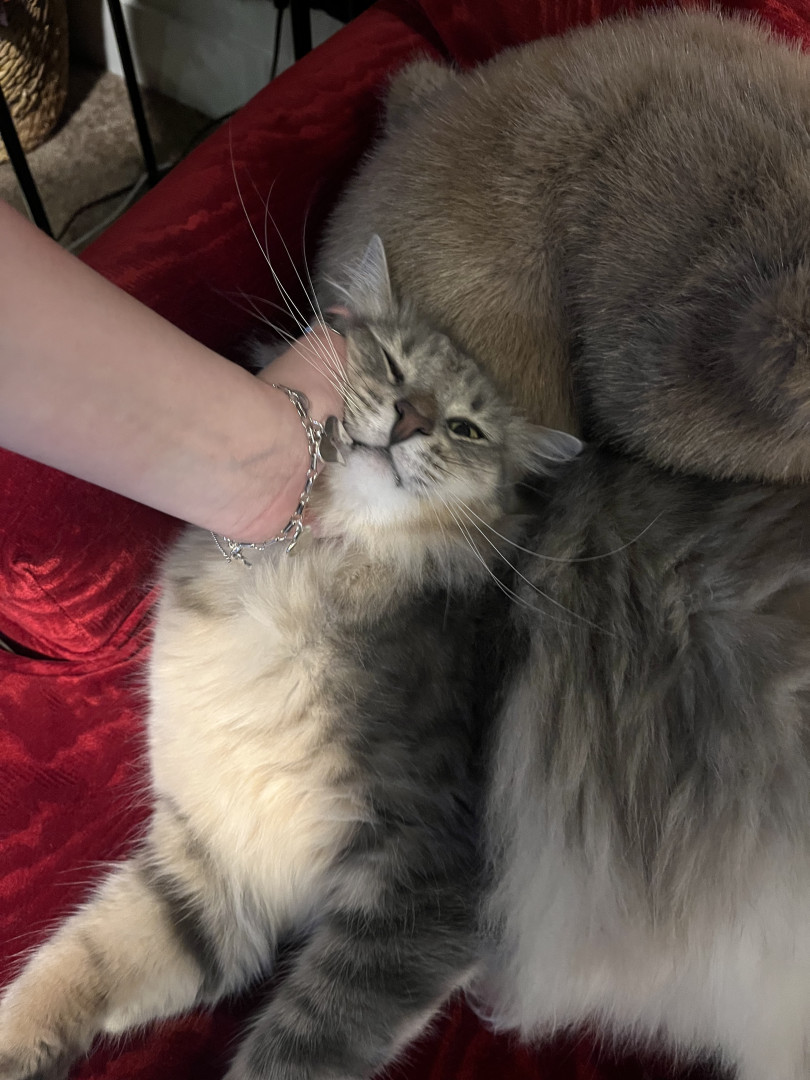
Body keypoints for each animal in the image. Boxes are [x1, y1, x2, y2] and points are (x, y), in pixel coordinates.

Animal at [0, 236, 581, 1080]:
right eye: (392, 363)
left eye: (467, 429)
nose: (413, 418)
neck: (304, 573)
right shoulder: (215, 867)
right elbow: (85, 959)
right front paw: (17, 1041)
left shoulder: (431, 871)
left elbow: (304, 1043)